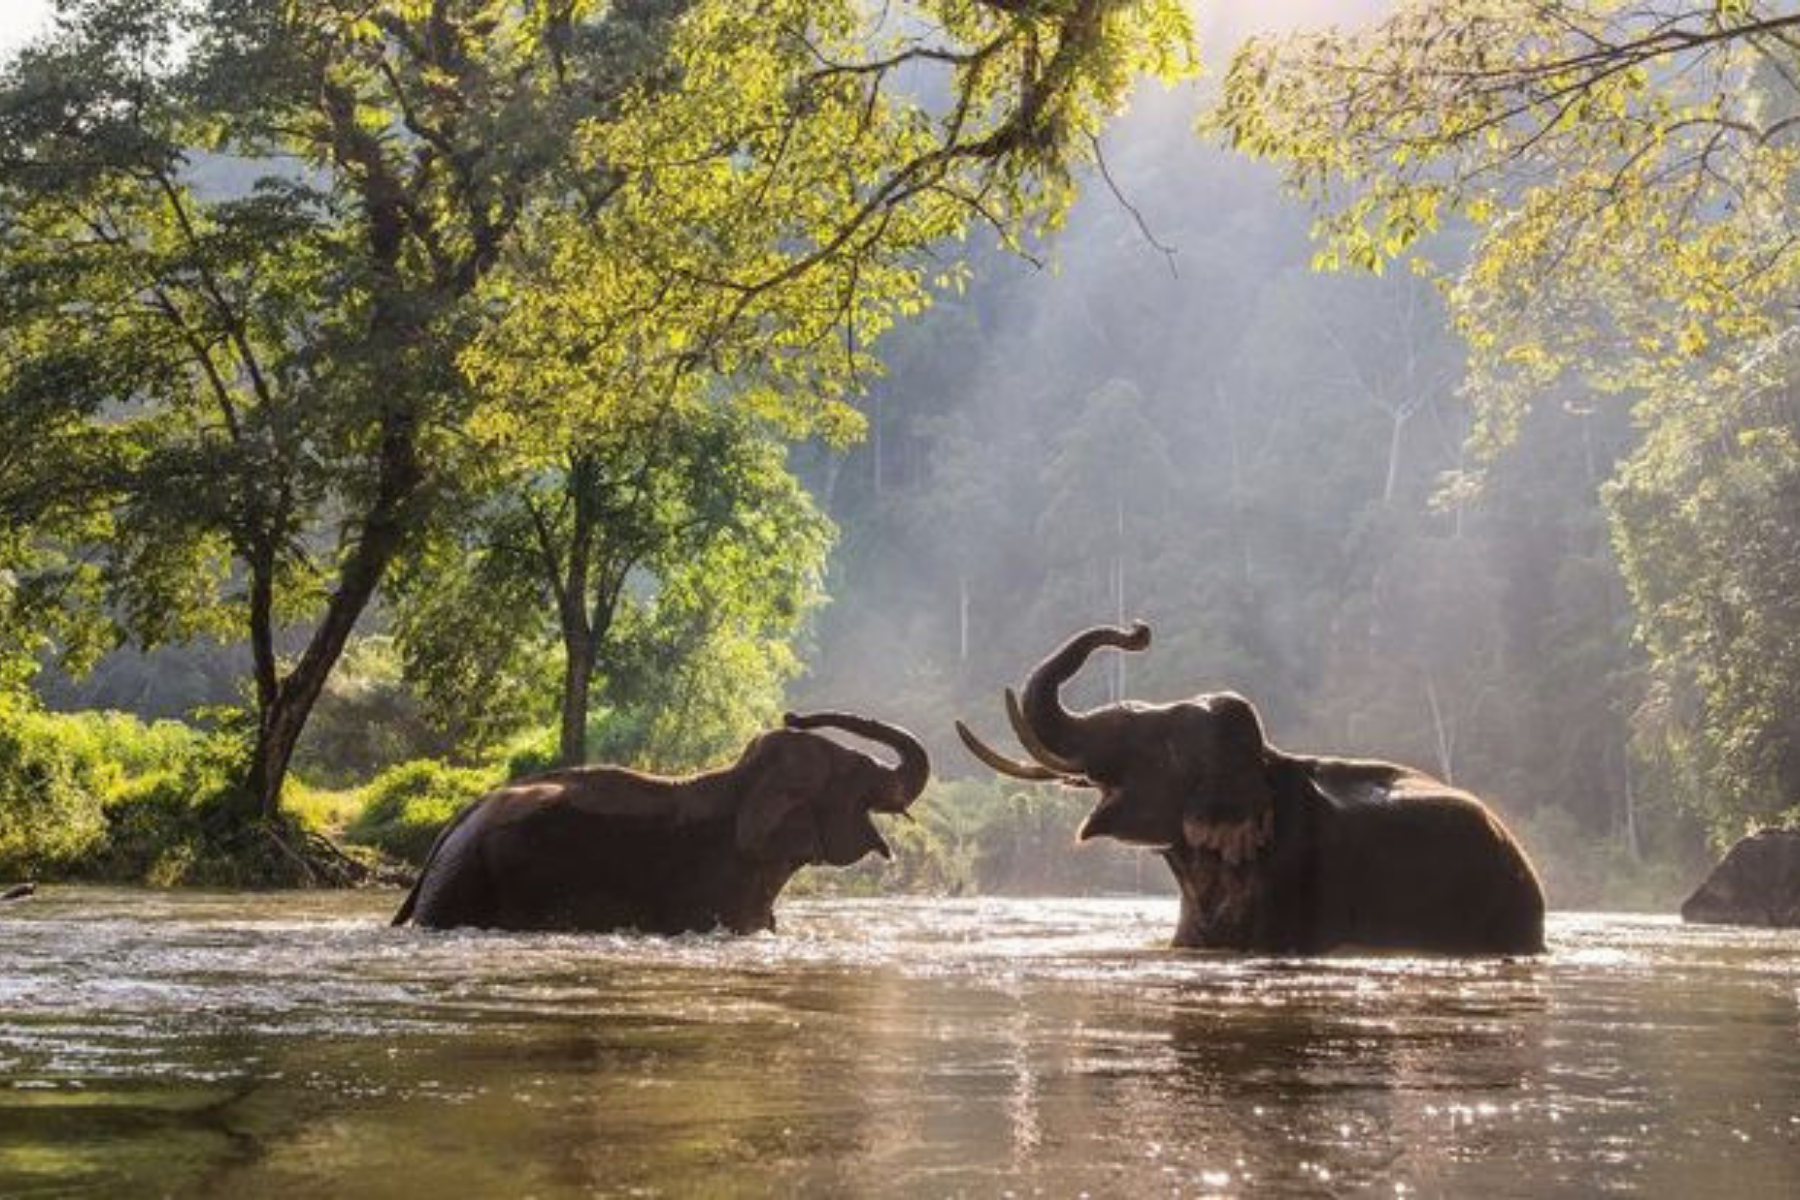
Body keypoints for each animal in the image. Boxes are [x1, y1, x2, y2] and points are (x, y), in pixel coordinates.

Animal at [391, 711, 929, 933]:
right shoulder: (712, 883)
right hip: (464, 883)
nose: (793, 714)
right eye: (856, 770)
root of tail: (450, 828)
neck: (740, 779)